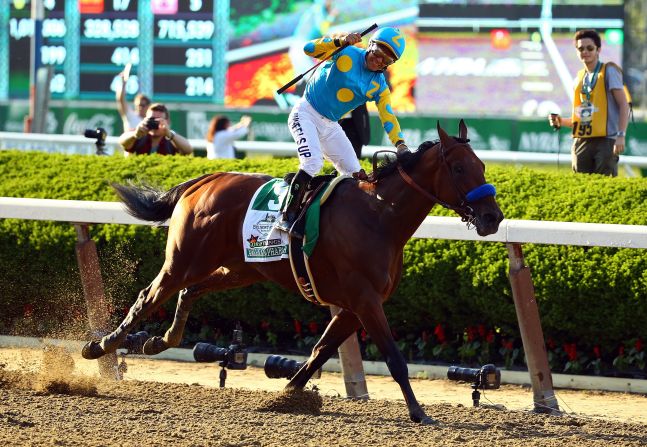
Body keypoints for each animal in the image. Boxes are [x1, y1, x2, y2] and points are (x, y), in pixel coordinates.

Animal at [82, 121, 506, 426]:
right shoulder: (365, 300)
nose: (492, 217)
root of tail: (204, 180)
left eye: (482, 166)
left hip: (239, 269)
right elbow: (394, 358)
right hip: (184, 261)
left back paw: (159, 341)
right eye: (458, 167)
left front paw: (286, 394)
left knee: (190, 292)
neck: (378, 215)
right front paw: (419, 412)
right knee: (148, 296)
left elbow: (320, 351)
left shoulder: (354, 306)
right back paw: (99, 346)